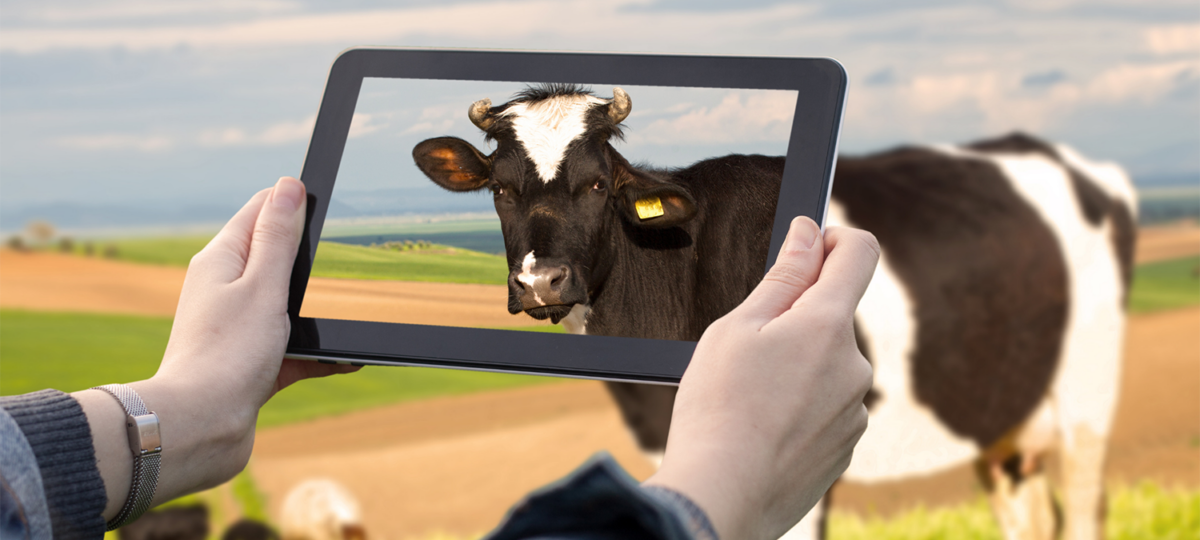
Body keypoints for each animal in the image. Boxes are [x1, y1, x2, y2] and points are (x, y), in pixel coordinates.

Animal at [412, 85, 1132, 540]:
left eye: (595, 184)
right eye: (500, 190)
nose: (540, 281)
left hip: (1088, 389)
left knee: (1086, 505)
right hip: (1001, 410)